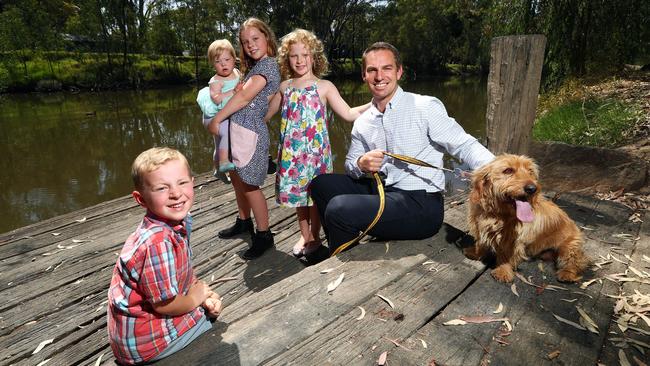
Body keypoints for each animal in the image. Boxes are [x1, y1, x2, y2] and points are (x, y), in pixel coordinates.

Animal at [464, 154, 584, 284]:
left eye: (530, 171)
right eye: (508, 170)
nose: (532, 188)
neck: (499, 214)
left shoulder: (512, 240)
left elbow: (506, 255)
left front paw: (503, 270)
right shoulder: (480, 226)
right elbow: (481, 244)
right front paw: (475, 253)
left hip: (569, 247)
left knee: (576, 261)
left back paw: (567, 273)